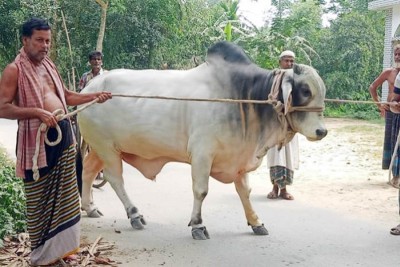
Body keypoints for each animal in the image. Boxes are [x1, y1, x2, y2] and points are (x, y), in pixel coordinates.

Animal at [78, 42, 328, 241]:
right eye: (305, 90)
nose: (322, 131)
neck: (243, 97)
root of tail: (89, 89)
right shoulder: (202, 154)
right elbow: (201, 191)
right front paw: (197, 225)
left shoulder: (239, 158)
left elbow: (245, 191)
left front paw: (256, 222)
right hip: (106, 148)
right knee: (115, 179)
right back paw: (134, 215)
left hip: (102, 148)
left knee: (88, 171)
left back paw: (90, 208)